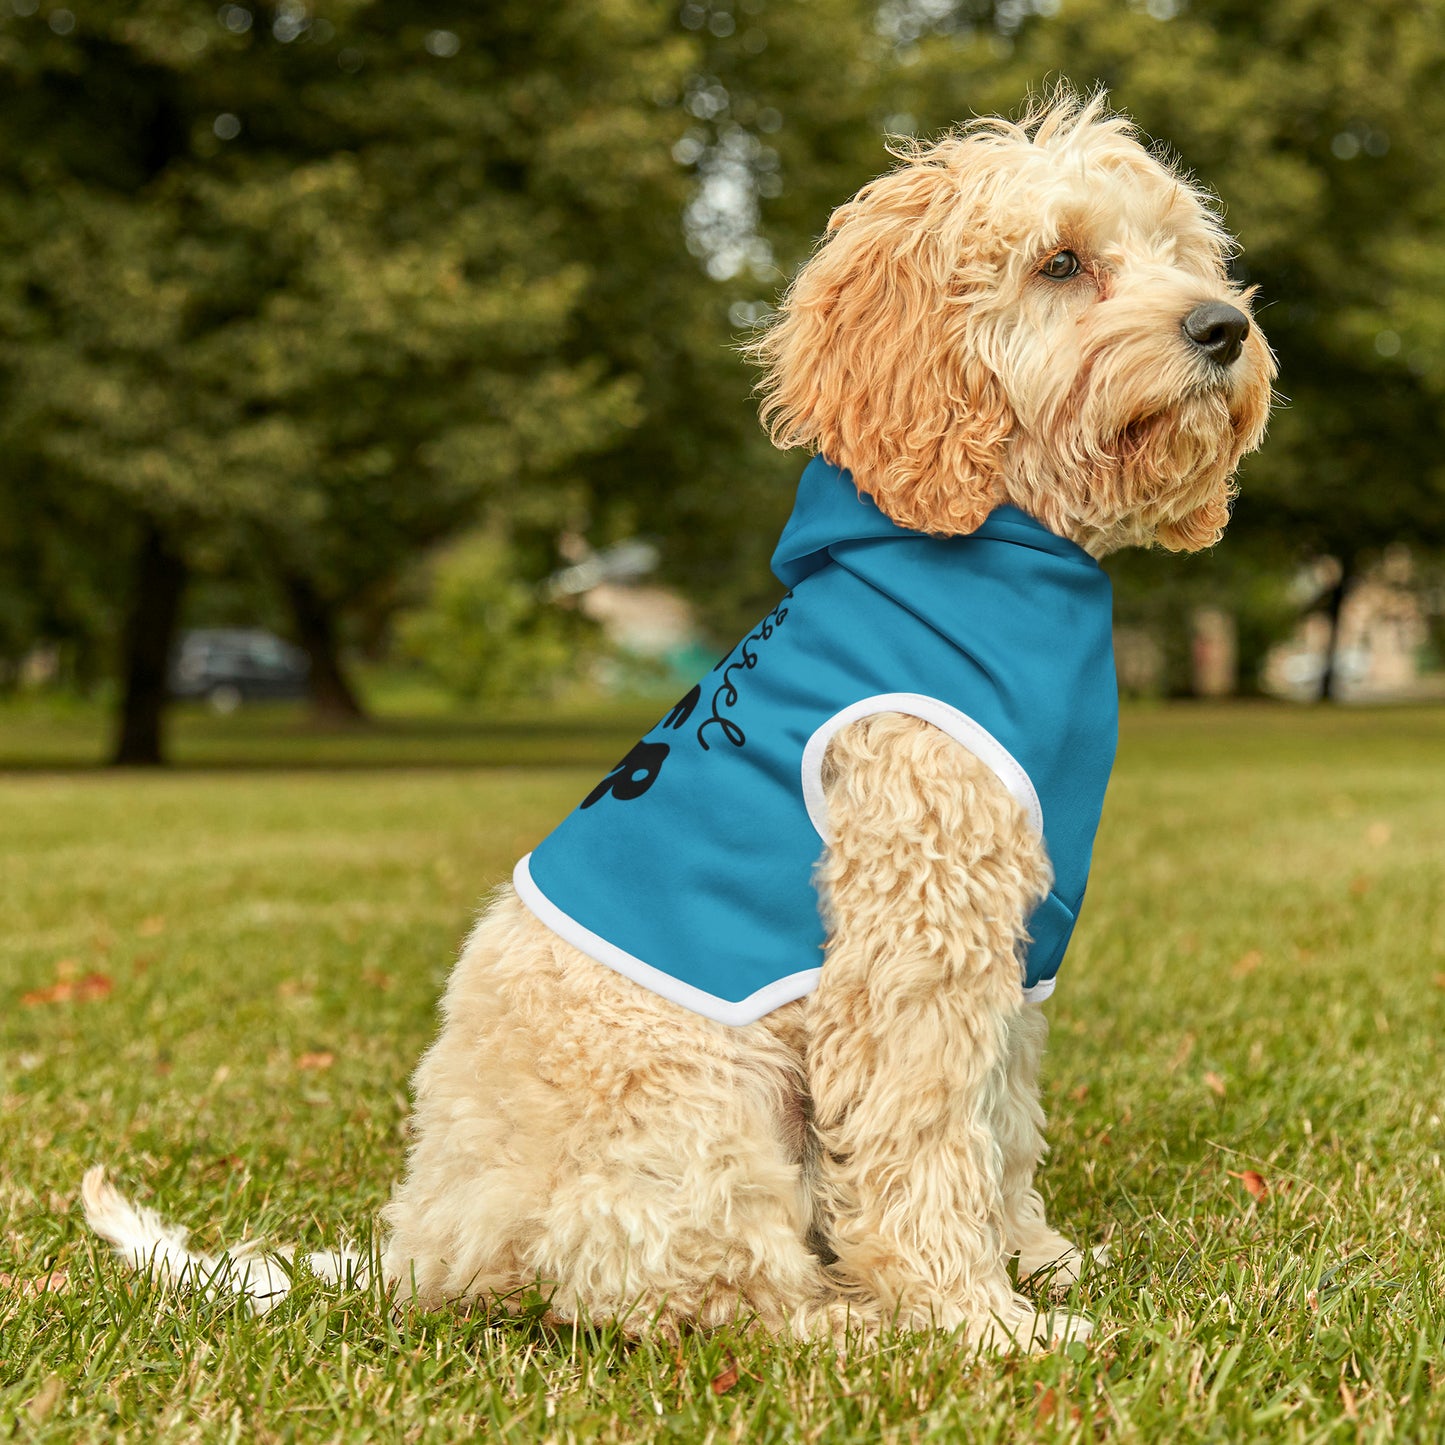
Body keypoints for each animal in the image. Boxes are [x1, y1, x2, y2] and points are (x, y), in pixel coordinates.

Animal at [84, 93, 1271, 1352]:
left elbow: (999, 1120)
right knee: (699, 1291)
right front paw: (976, 1318)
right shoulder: (912, 936)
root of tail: (424, 1245)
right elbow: (924, 1137)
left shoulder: (1013, 941)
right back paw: (852, 1322)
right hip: (704, 1101)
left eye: (1180, 252)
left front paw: (1034, 1259)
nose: (1222, 327)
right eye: (1059, 262)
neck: (988, 547)